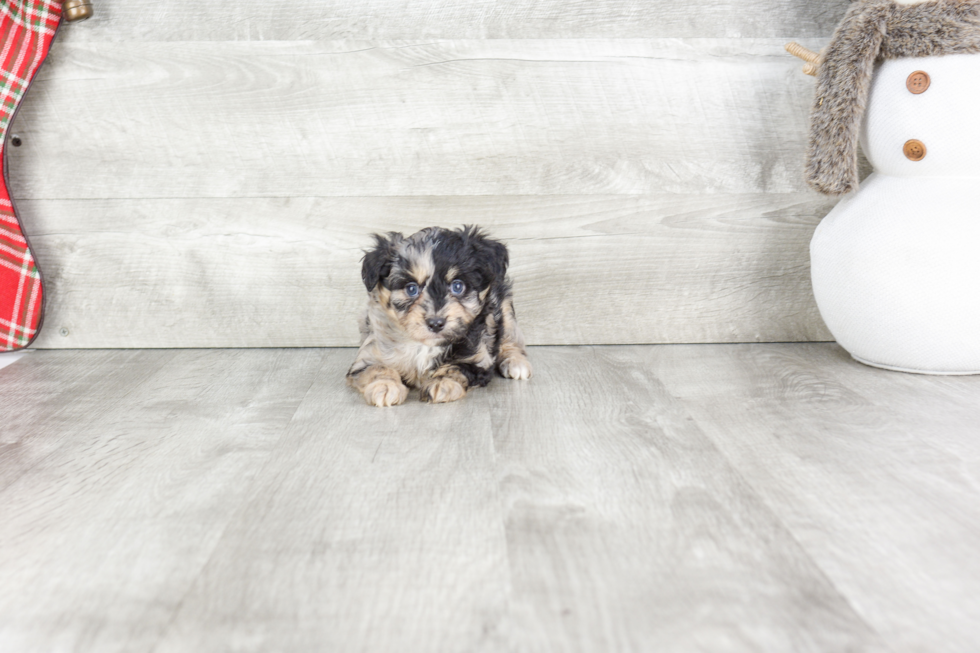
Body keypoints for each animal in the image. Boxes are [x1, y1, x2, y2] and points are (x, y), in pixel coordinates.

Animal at [348, 227, 532, 404]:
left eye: (457, 286)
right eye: (411, 289)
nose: (435, 323)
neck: (425, 345)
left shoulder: (478, 359)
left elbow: (457, 368)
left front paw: (442, 383)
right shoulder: (368, 354)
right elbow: (376, 368)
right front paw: (385, 386)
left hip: (505, 308)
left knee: (511, 340)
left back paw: (516, 363)